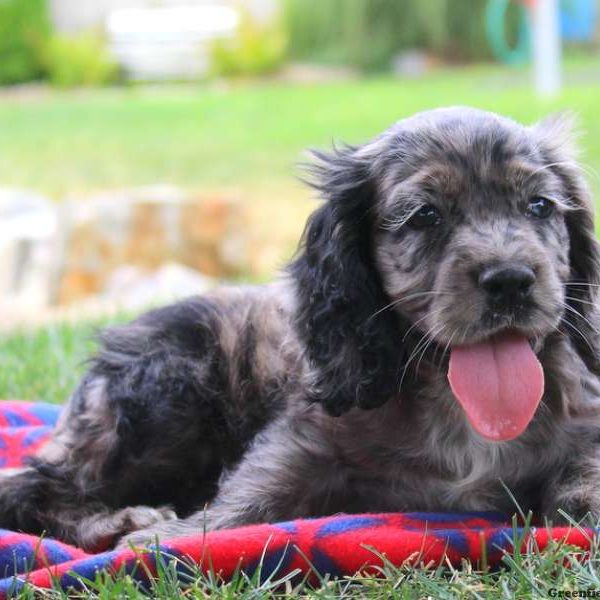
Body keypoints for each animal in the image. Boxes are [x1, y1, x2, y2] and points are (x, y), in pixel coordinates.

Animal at [1, 105, 600, 552]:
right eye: (425, 215)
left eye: (540, 206)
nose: (511, 280)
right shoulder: (303, 440)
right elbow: (250, 495)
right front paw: (167, 539)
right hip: (163, 396)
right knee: (31, 485)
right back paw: (117, 521)